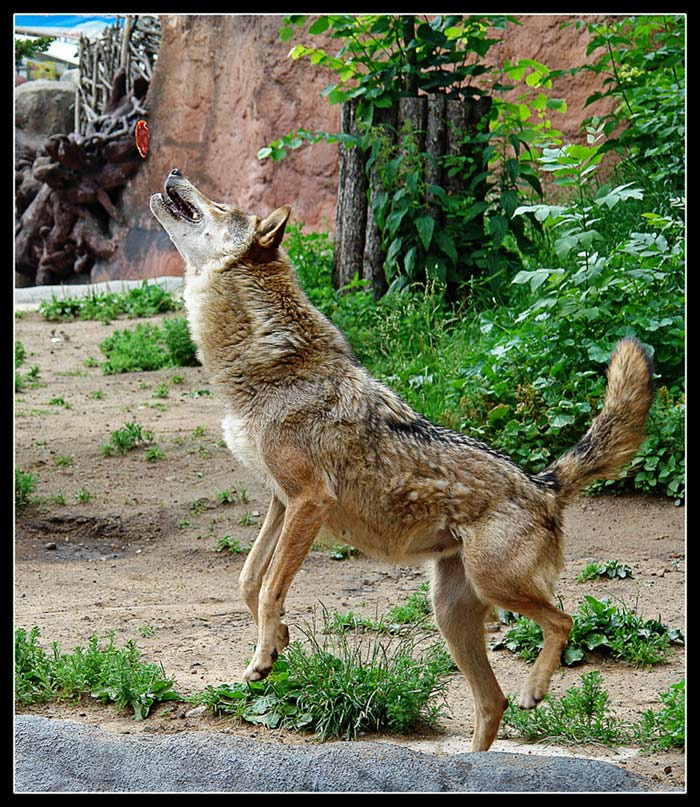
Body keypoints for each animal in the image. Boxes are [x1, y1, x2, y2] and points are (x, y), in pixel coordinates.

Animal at [150, 169, 654, 751]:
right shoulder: (281, 501)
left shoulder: (309, 501)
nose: (173, 174)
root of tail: (544, 483)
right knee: (492, 702)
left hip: (494, 587)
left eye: (221, 203)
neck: (270, 365)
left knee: (561, 622)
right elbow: (250, 580)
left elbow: (272, 583)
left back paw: (534, 690)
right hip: (452, 613)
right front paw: (275, 642)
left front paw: (262, 656)